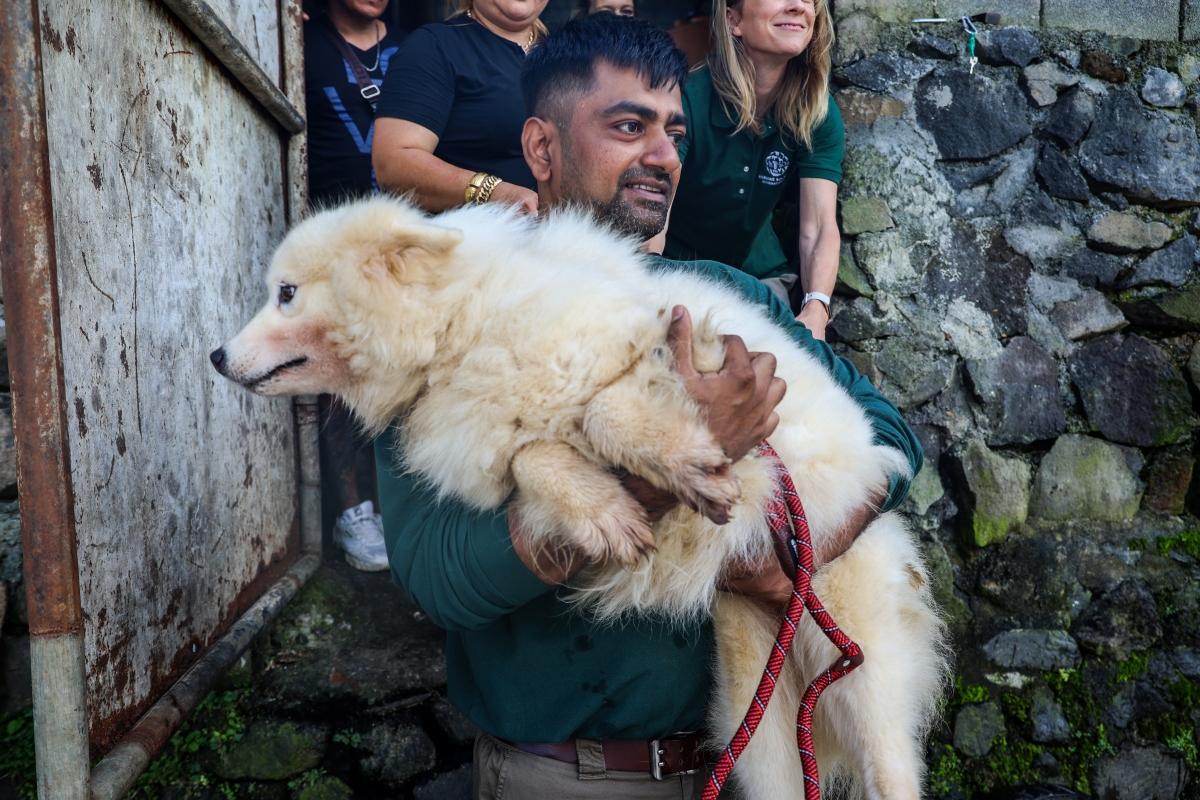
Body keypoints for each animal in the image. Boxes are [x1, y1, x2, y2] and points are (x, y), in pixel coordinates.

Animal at [213, 195, 945, 800]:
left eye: (285, 293)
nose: (216, 356)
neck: (461, 329)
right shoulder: (505, 456)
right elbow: (535, 457)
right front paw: (605, 513)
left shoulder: (679, 347)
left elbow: (602, 409)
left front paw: (678, 459)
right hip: (755, 712)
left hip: (861, 676)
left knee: (893, 773)